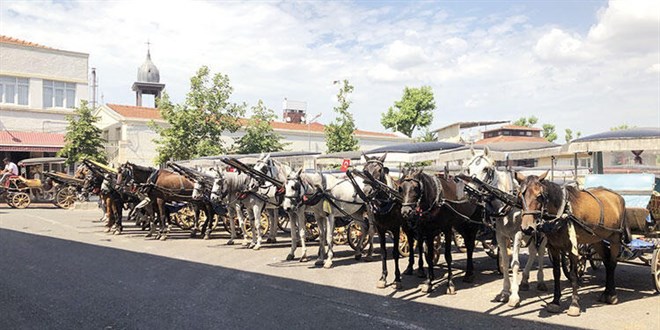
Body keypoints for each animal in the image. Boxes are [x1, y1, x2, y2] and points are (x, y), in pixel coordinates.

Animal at [462, 147, 548, 306]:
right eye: (468, 169)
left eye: (486, 169)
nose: (469, 192)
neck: (507, 203)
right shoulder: (500, 236)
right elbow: (505, 260)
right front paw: (504, 292)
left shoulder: (517, 235)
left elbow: (514, 263)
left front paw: (514, 296)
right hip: (529, 233)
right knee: (533, 251)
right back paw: (525, 281)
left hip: (542, 232)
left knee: (539, 251)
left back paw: (540, 281)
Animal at [516, 171, 628, 316]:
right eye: (520, 195)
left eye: (539, 196)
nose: (527, 228)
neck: (562, 211)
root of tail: (618, 196)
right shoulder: (553, 248)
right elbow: (556, 273)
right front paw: (555, 301)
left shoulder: (573, 248)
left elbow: (574, 274)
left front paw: (574, 305)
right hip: (597, 239)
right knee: (607, 262)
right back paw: (606, 293)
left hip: (615, 238)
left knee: (612, 263)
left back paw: (612, 295)